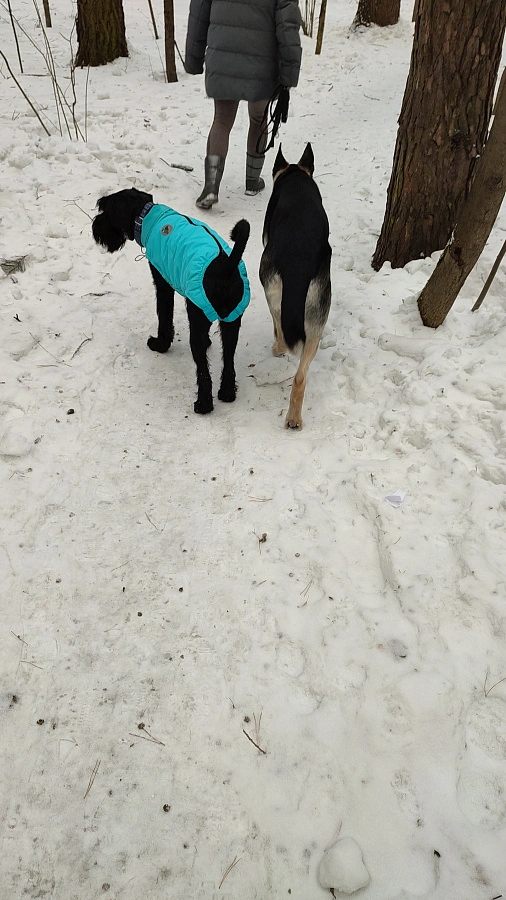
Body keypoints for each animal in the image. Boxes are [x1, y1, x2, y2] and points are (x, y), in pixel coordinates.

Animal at [92, 192, 250, 416]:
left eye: (106, 212)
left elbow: (164, 317)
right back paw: (227, 393)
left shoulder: (163, 284)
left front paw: (160, 344)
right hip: (232, 321)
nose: (95, 226)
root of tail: (226, 266)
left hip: (200, 325)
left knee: (203, 370)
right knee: (228, 359)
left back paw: (204, 404)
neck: (146, 215)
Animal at [258, 142, 330, 430]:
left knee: (279, 328)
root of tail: (299, 258)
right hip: (318, 312)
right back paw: (294, 418)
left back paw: (277, 348)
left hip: (271, 289)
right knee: (301, 376)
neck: (296, 175)